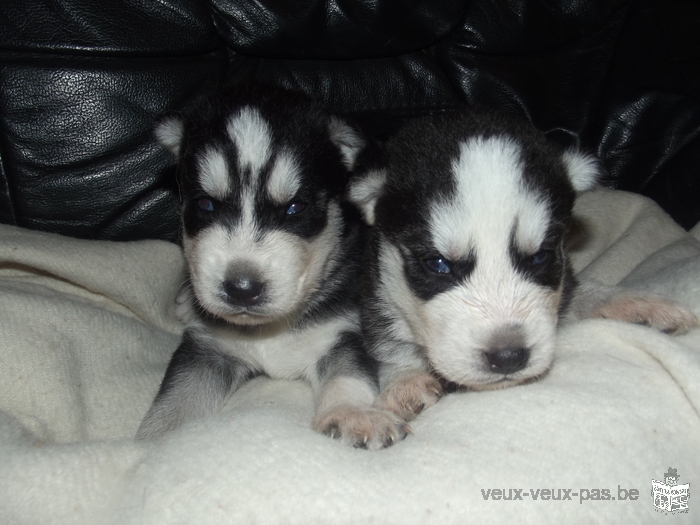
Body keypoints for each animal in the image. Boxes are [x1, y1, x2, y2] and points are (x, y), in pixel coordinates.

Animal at [137, 84, 408, 448]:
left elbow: (348, 376)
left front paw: (354, 415)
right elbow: (175, 402)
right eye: (205, 204)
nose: (242, 289)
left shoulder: (343, 334)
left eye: (295, 208)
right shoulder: (207, 348)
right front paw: (150, 443)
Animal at [348, 110, 696, 422]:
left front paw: (636, 304)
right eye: (438, 264)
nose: (508, 357)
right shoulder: (374, 286)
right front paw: (404, 379)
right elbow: (386, 338)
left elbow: (581, 292)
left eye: (540, 257)